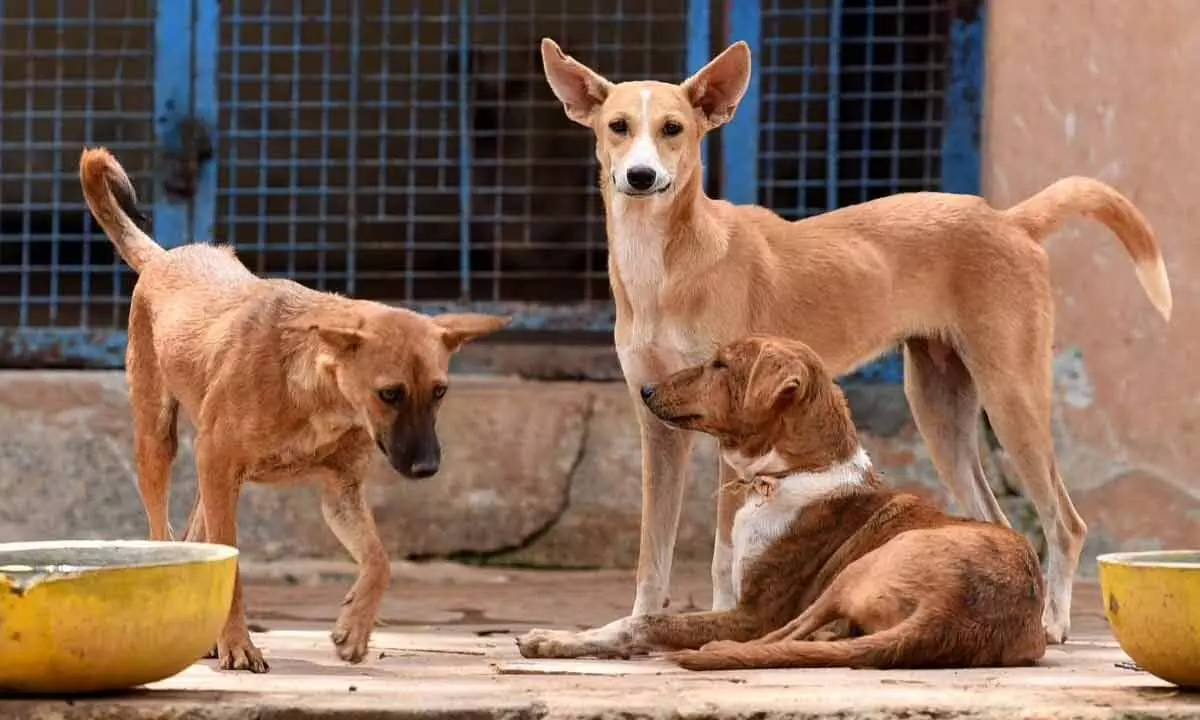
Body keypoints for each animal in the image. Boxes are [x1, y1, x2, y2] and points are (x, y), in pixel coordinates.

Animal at [78, 148, 511, 672]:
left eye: (441, 391)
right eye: (390, 393)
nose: (428, 468)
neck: (317, 396)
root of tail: (165, 257)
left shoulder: (339, 491)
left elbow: (380, 560)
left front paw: (354, 627)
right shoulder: (220, 464)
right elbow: (235, 566)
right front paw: (239, 645)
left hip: (211, 472)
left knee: (195, 536)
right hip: (158, 443)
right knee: (164, 534)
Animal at [520, 333, 1046, 672]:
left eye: (720, 365)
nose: (646, 389)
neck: (790, 474)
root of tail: (949, 616)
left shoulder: (754, 614)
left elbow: (643, 622)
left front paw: (556, 639)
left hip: (857, 570)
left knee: (780, 639)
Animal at [537, 36, 1171, 643]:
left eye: (673, 130)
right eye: (618, 127)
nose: (640, 177)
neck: (663, 264)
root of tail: (1008, 219)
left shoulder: (729, 430)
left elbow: (721, 558)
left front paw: (706, 622)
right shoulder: (657, 424)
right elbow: (652, 558)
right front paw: (627, 627)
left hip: (1011, 396)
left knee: (1066, 521)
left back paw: (1054, 622)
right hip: (939, 411)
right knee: (1000, 518)